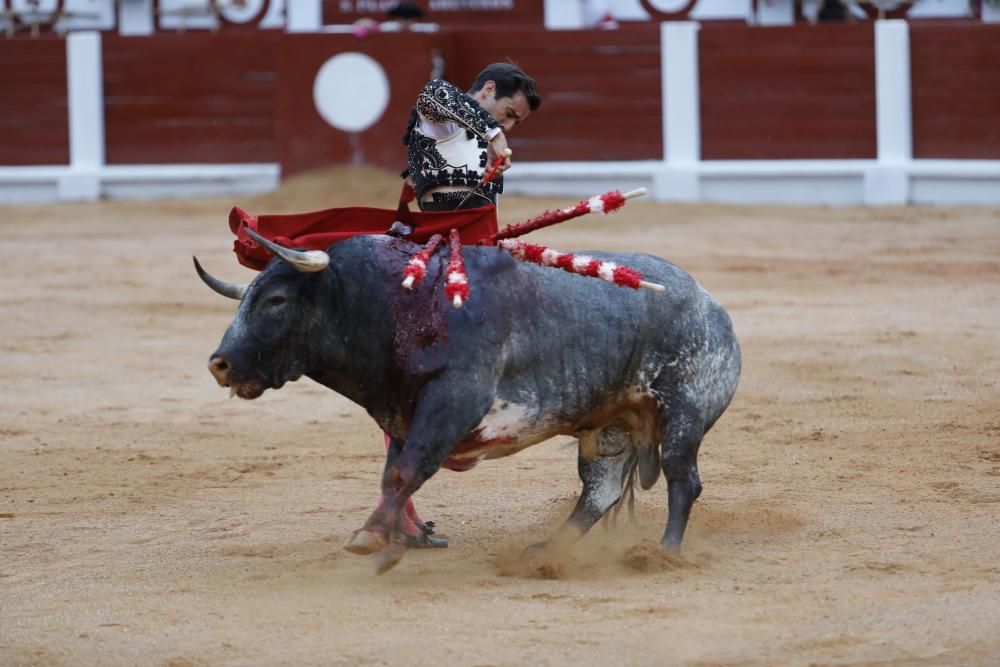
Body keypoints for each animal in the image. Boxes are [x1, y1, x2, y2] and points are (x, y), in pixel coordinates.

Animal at [197, 230, 744, 576]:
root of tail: (713, 306)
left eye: (276, 300)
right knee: (600, 491)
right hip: (607, 428)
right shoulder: (405, 415)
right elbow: (393, 475)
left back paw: (665, 552)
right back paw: (545, 553)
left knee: (682, 480)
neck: (398, 304)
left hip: (683, 413)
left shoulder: (452, 401)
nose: (220, 364)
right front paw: (391, 542)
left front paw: (372, 539)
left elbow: (405, 471)